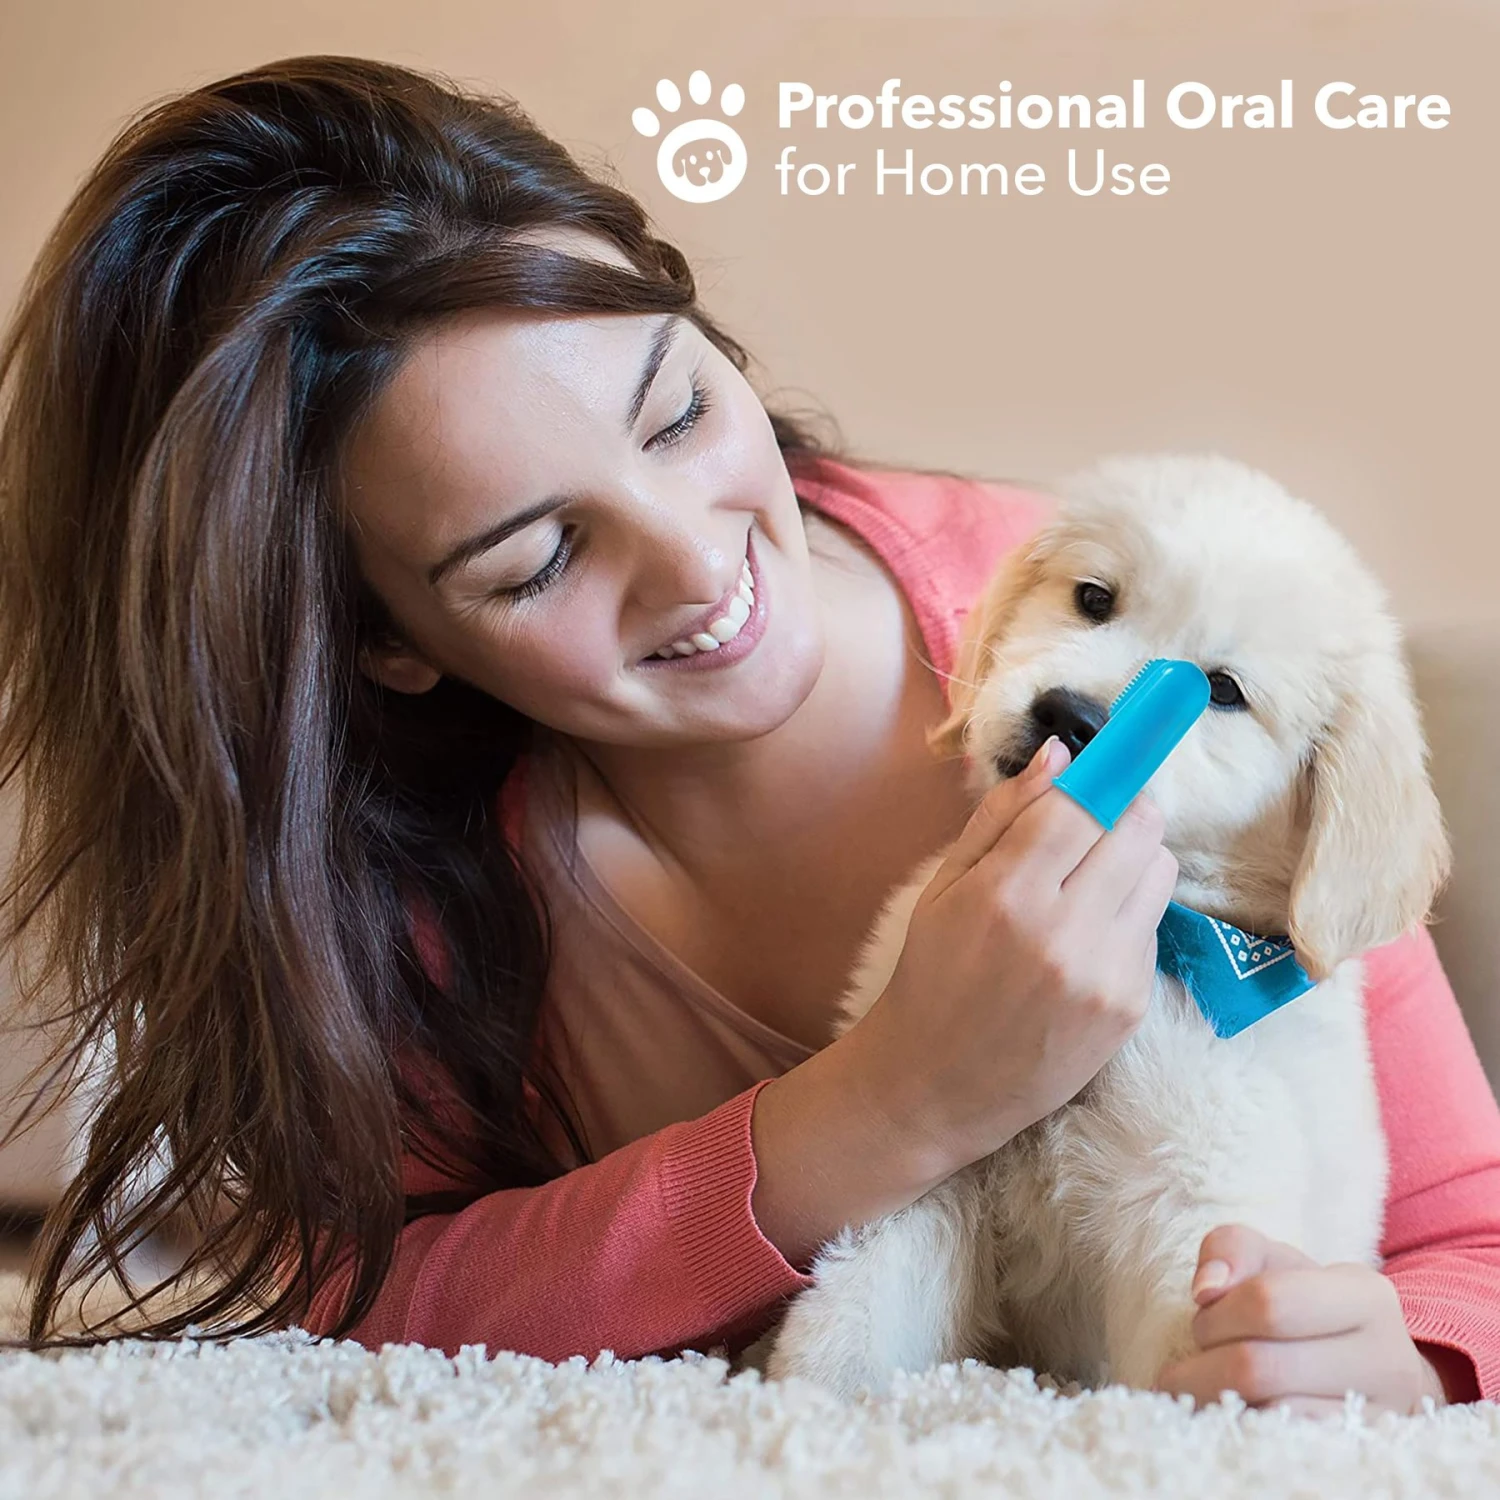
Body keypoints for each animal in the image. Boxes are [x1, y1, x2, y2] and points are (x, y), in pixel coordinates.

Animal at [761, 452, 1451, 1398]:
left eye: (1222, 691)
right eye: (1094, 597)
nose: (1071, 717)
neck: (1160, 941)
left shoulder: (1190, 1189)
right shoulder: (932, 1163)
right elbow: (858, 1310)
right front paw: (806, 1398)